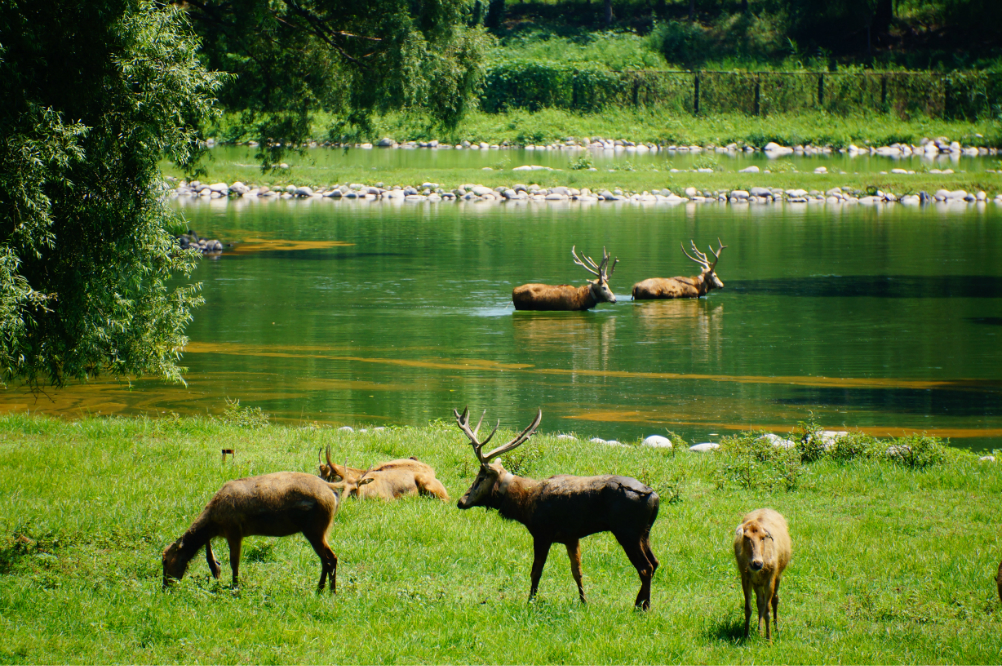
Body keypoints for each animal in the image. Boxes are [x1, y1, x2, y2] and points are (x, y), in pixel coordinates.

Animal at [161, 470, 340, 588]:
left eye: (164, 560)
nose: (165, 586)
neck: (213, 524)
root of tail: (332, 491)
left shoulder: (234, 530)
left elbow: (234, 562)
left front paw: (235, 587)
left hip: (315, 529)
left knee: (331, 558)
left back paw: (329, 591)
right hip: (321, 530)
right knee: (326, 559)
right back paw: (321, 589)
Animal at [452, 404, 657, 608]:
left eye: (481, 477)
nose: (461, 501)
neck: (524, 504)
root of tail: (654, 496)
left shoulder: (542, 532)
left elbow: (536, 571)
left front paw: (530, 601)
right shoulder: (571, 536)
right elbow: (577, 571)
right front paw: (584, 602)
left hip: (627, 531)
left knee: (645, 567)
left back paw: (643, 607)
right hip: (644, 532)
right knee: (655, 562)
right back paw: (640, 603)